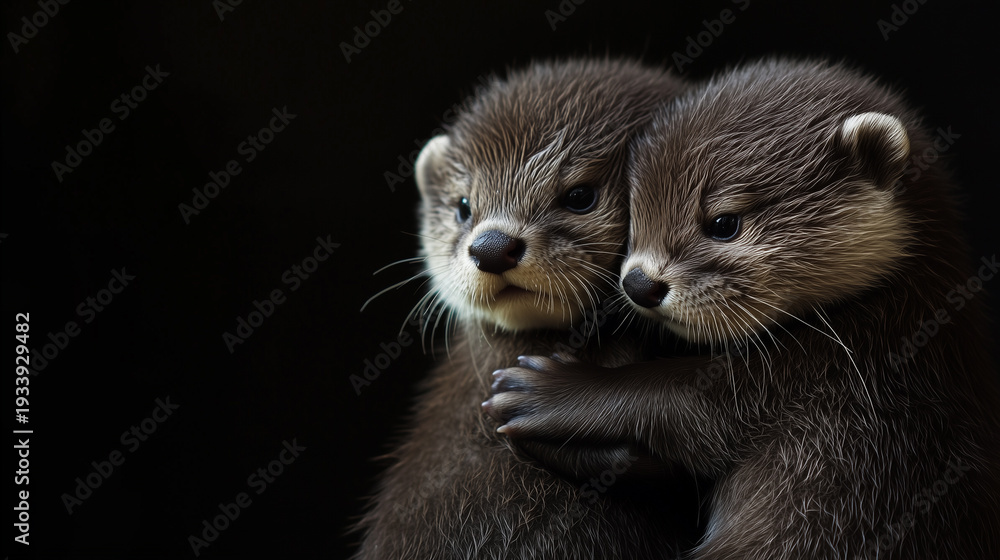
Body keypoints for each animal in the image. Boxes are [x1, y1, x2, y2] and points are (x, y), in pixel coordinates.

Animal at [486, 58, 1000, 559]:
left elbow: (676, 400)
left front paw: (544, 392)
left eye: (723, 223)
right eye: (633, 214)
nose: (638, 284)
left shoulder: (817, 378)